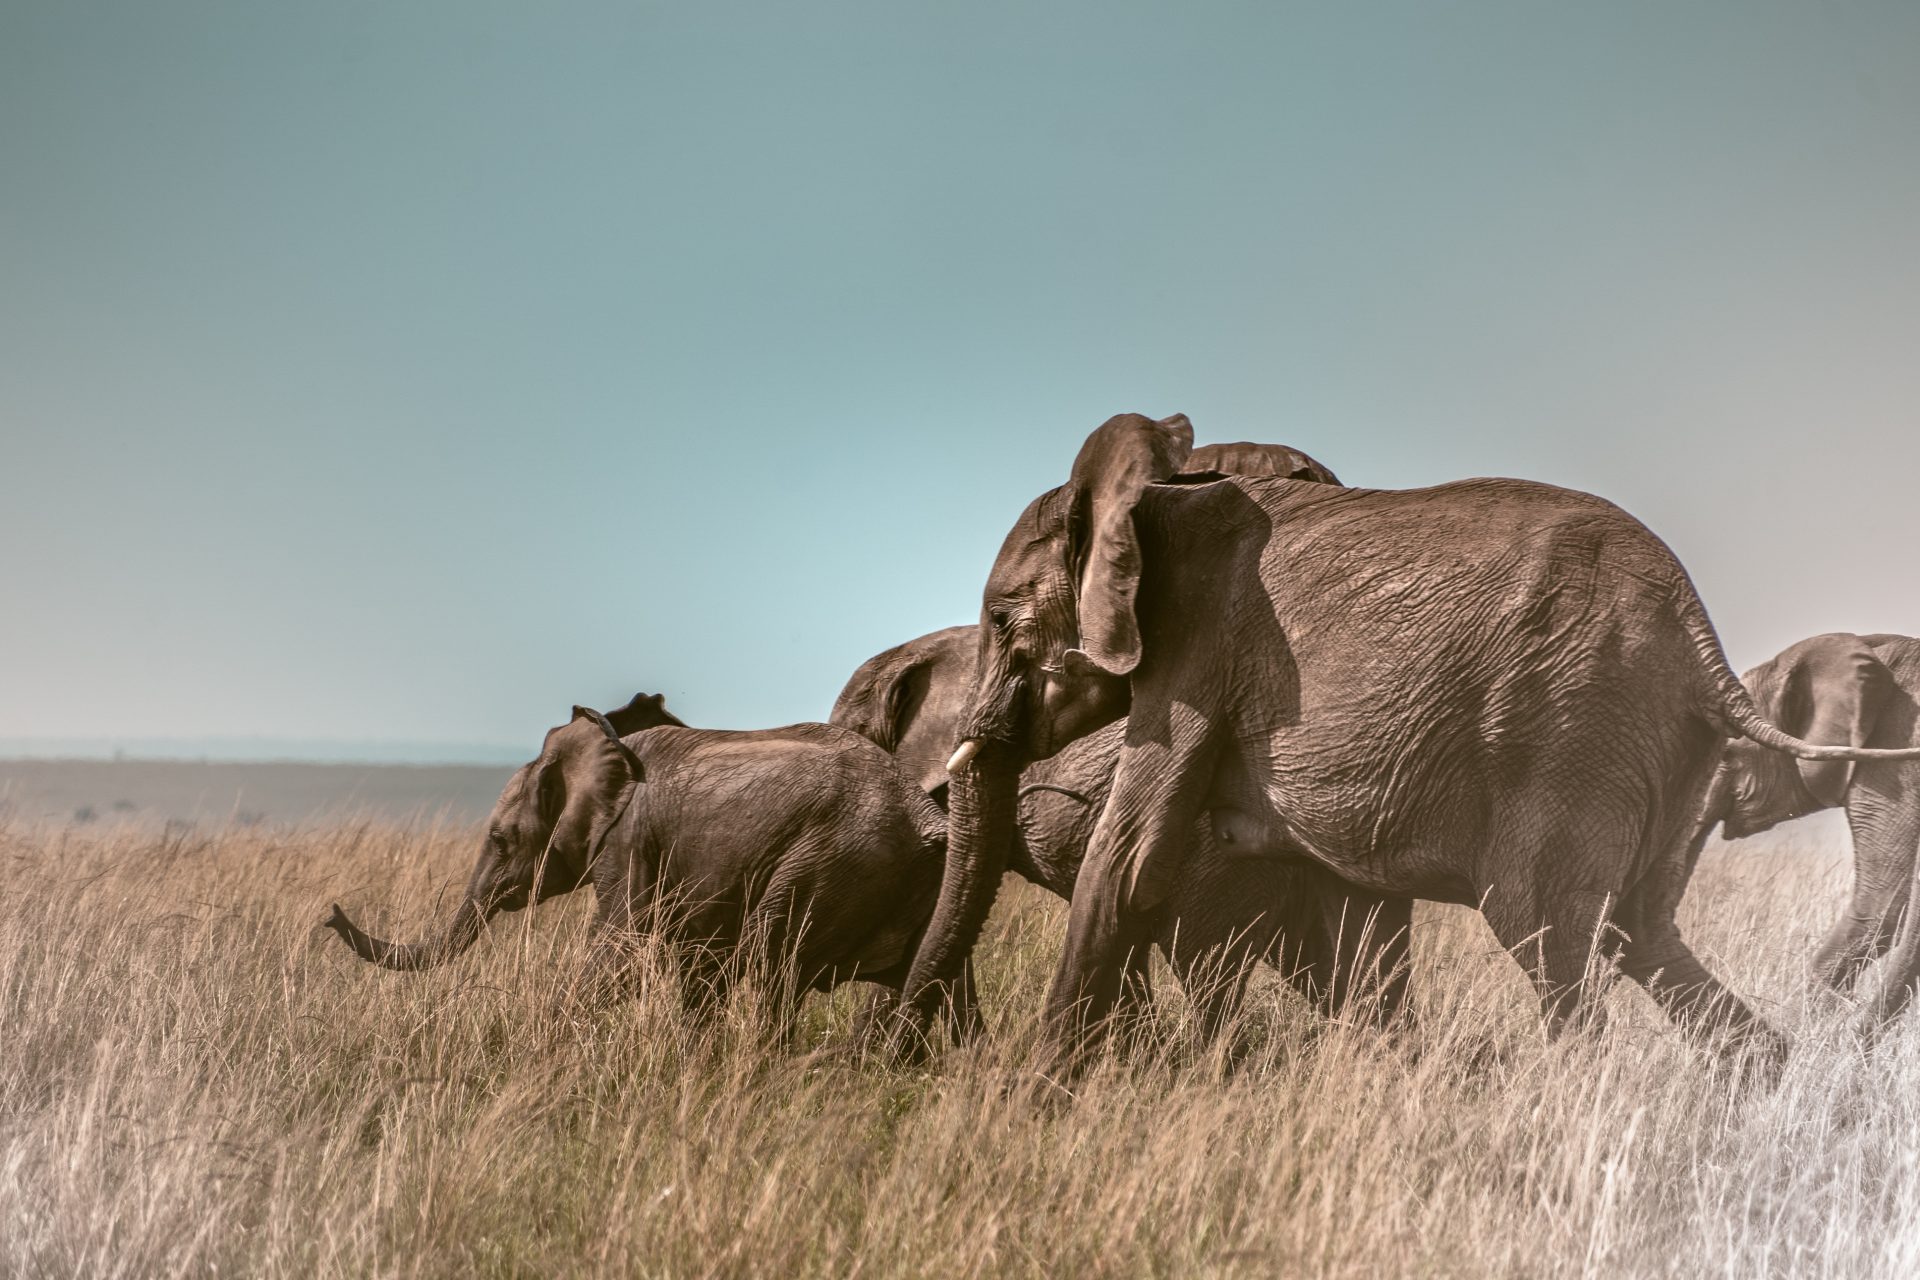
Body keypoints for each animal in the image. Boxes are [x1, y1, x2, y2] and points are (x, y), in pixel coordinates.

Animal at [324, 694, 975, 1036]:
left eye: (501, 839)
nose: (329, 914)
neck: (605, 746)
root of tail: (929, 821)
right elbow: (699, 972)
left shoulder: (630, 843)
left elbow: (622, 954)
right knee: (950, 995)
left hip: (830, 866)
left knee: (772, 965)